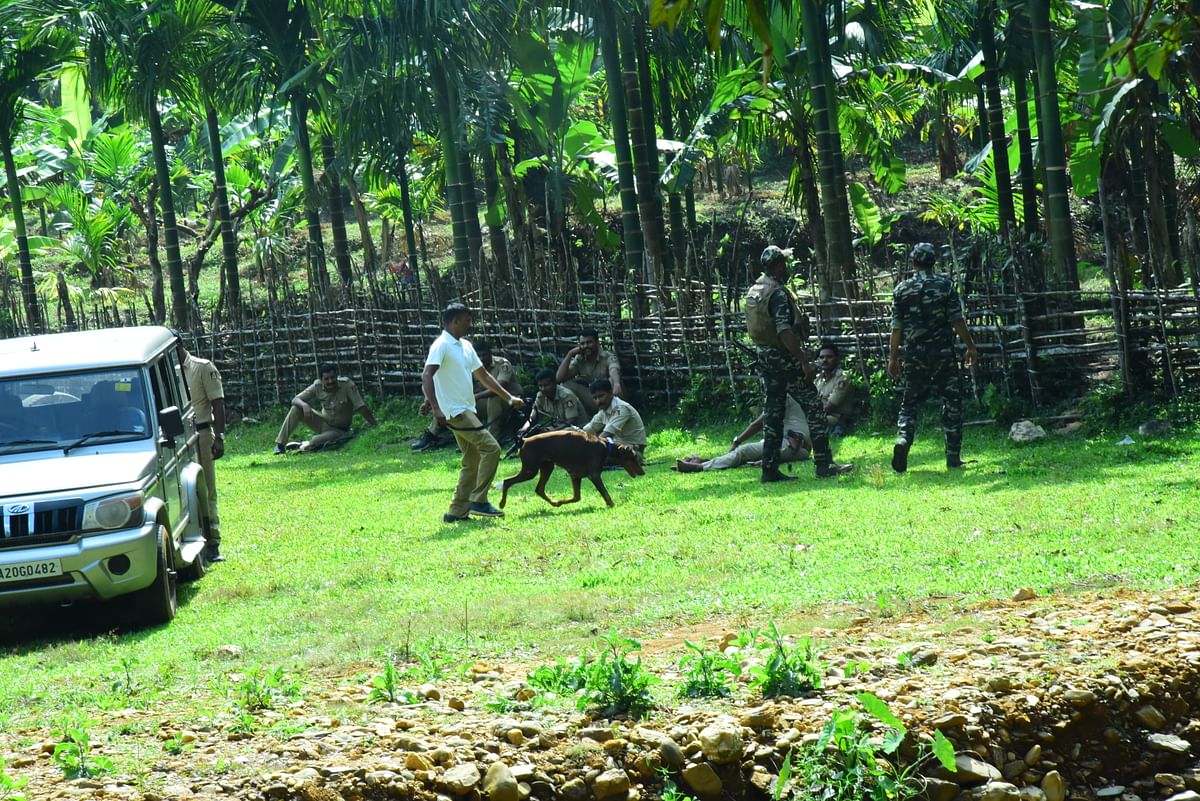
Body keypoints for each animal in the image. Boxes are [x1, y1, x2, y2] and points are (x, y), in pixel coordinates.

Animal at [496, 429, 648, 510]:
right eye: (634, 458)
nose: (643, 473)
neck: (606, 448)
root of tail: (524, 440)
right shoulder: (594, 475)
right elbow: (605, 494)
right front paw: (612, 505)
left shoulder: (575, 476)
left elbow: (576, 497)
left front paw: (561, 501)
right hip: (530, 470)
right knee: (507, 481)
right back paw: (502, 504)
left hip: (547, 467)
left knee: (539, 489)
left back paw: (554, 503)